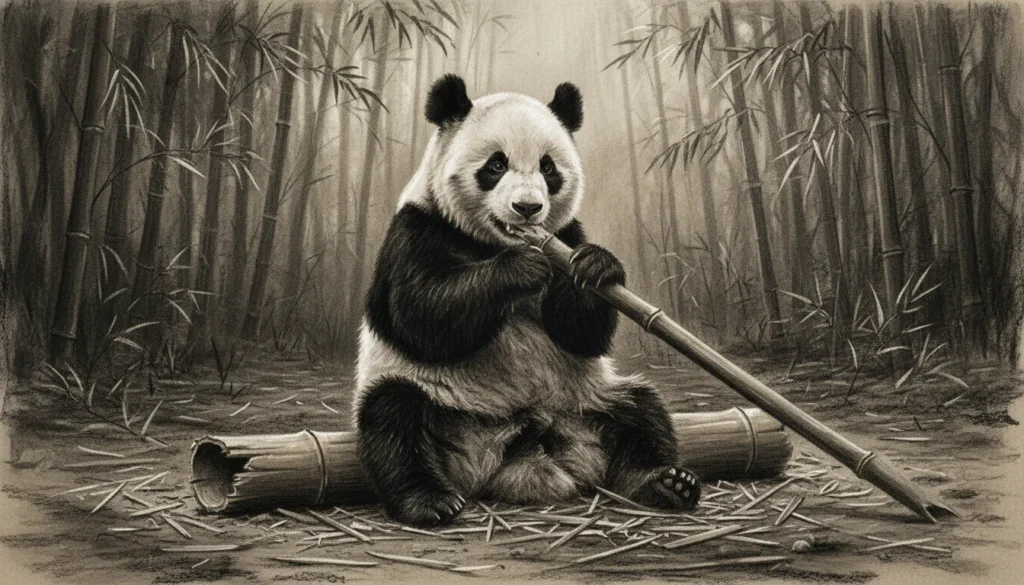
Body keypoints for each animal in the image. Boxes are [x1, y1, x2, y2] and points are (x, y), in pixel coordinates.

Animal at [353, 74, 701, 527]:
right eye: (495, 165)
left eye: (548, 168)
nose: (527, 208)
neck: (494, 242)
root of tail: (514, 450)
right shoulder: (417, 230)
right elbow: (422, 317)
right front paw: (518, 269)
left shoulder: (565, 235)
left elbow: (580, 334)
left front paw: (598, 265)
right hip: (440, 401)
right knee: (394, 419)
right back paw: (429, 500)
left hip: (585, 399)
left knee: (643, 412)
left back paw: (666, 483)